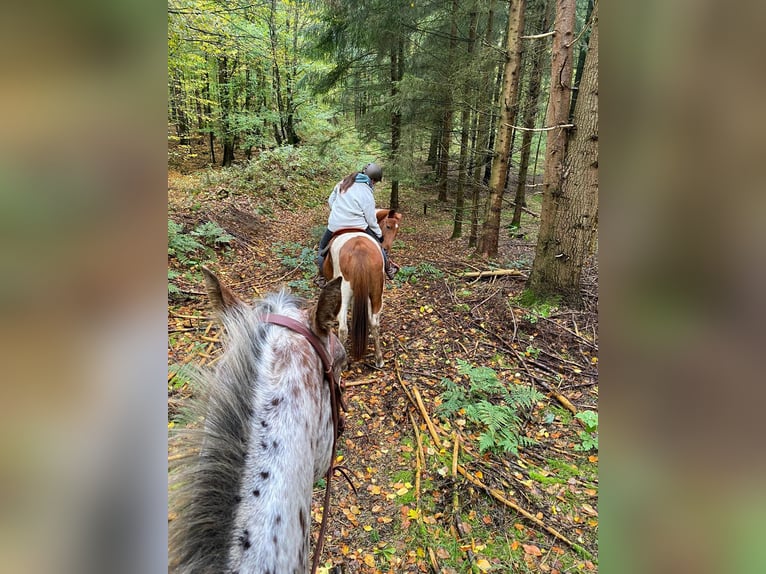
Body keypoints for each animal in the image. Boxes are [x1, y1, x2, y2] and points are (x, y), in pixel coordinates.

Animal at [321, 208, 402, 367]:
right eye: (388, 226)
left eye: (397, 230)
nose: (386, 248)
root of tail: (360, 252)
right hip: (377, 291)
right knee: (374, 324)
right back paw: (379, 359)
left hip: (344, 291)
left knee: (343, 328)